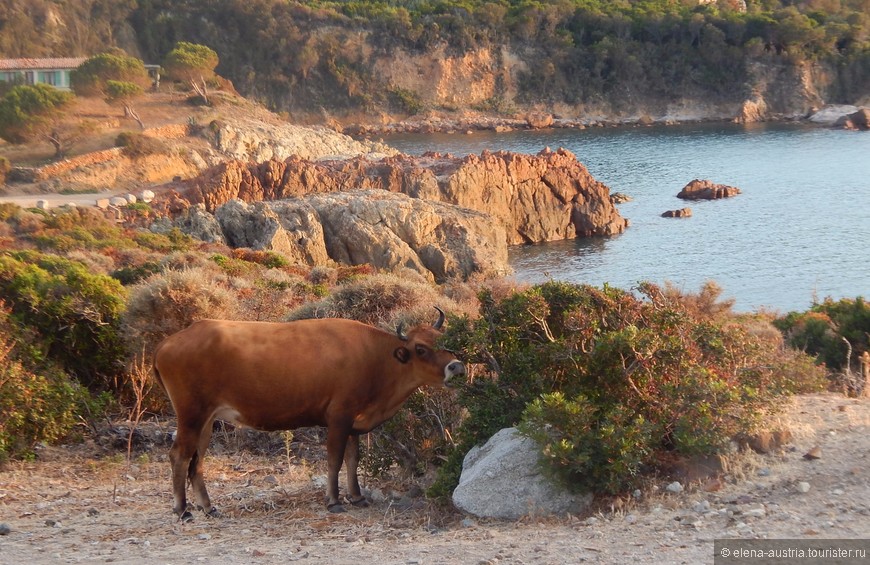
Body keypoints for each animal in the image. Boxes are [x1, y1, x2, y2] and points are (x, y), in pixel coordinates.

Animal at [153, 308, 466, 520]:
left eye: (445, 339)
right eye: (421, 348)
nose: (457, 367)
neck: (376, 357)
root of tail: (170, 341)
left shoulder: (354, 422)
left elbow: (353, 460)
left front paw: (357, 497)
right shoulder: (339, 417)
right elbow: (335, 460)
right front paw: (334, 501)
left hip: (207, 420)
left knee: (197, 461)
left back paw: (208, 507)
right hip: (191, 415)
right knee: (180, 455)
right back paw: (182, 511)